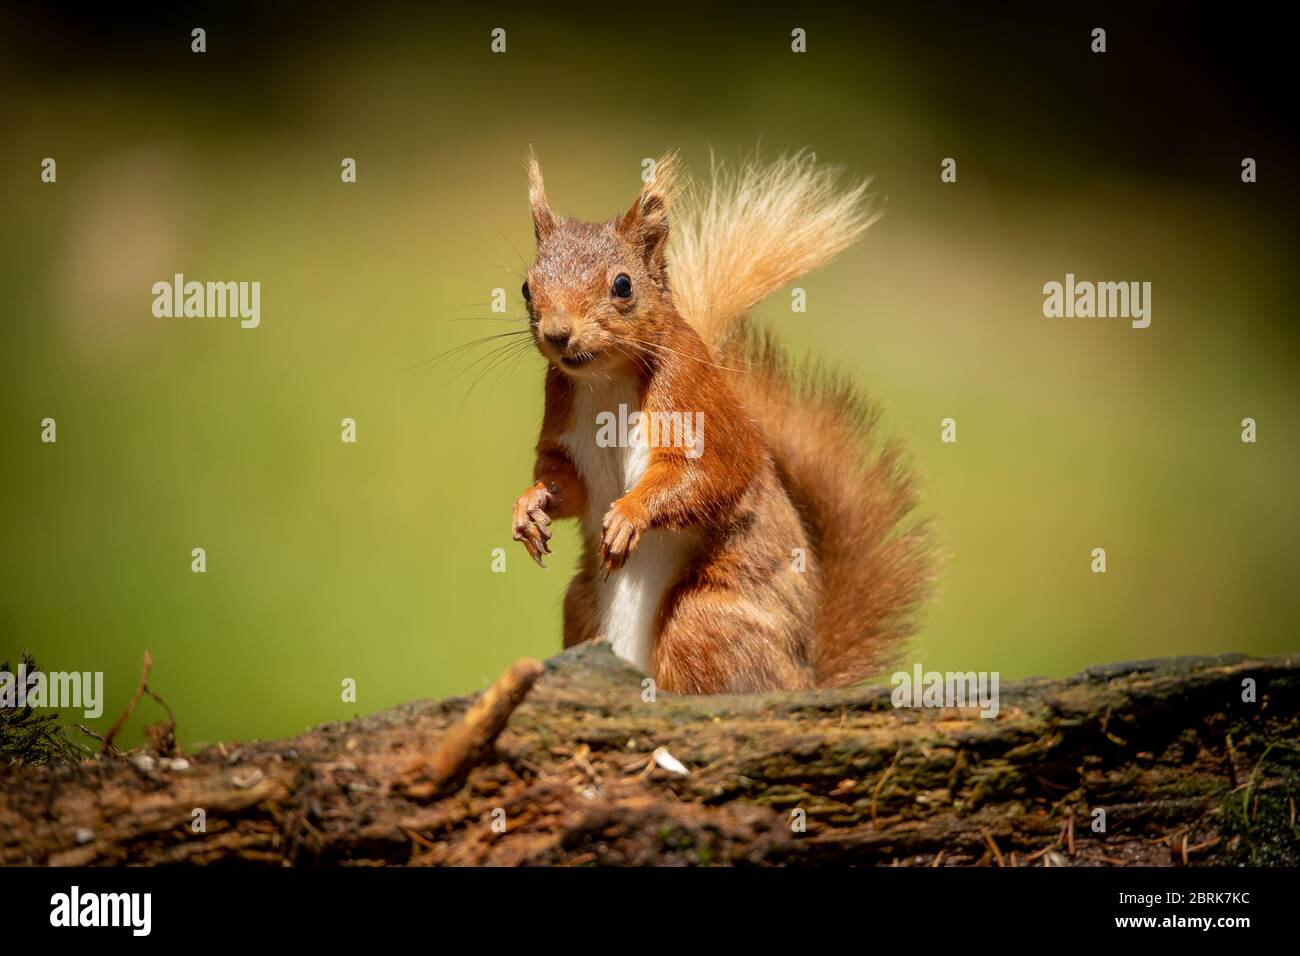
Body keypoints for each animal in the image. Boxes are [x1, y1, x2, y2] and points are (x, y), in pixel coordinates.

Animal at [509, 149, 935, 697]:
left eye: (623, 285)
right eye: (526, 287)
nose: (558, 333)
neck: (606, 380)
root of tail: (805, 679)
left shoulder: (699, 404)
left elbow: (711, 474)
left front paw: (630, 515)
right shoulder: (565, 429)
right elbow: (567, 483)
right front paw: (529, 507)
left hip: (703, 619)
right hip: (582, 607)